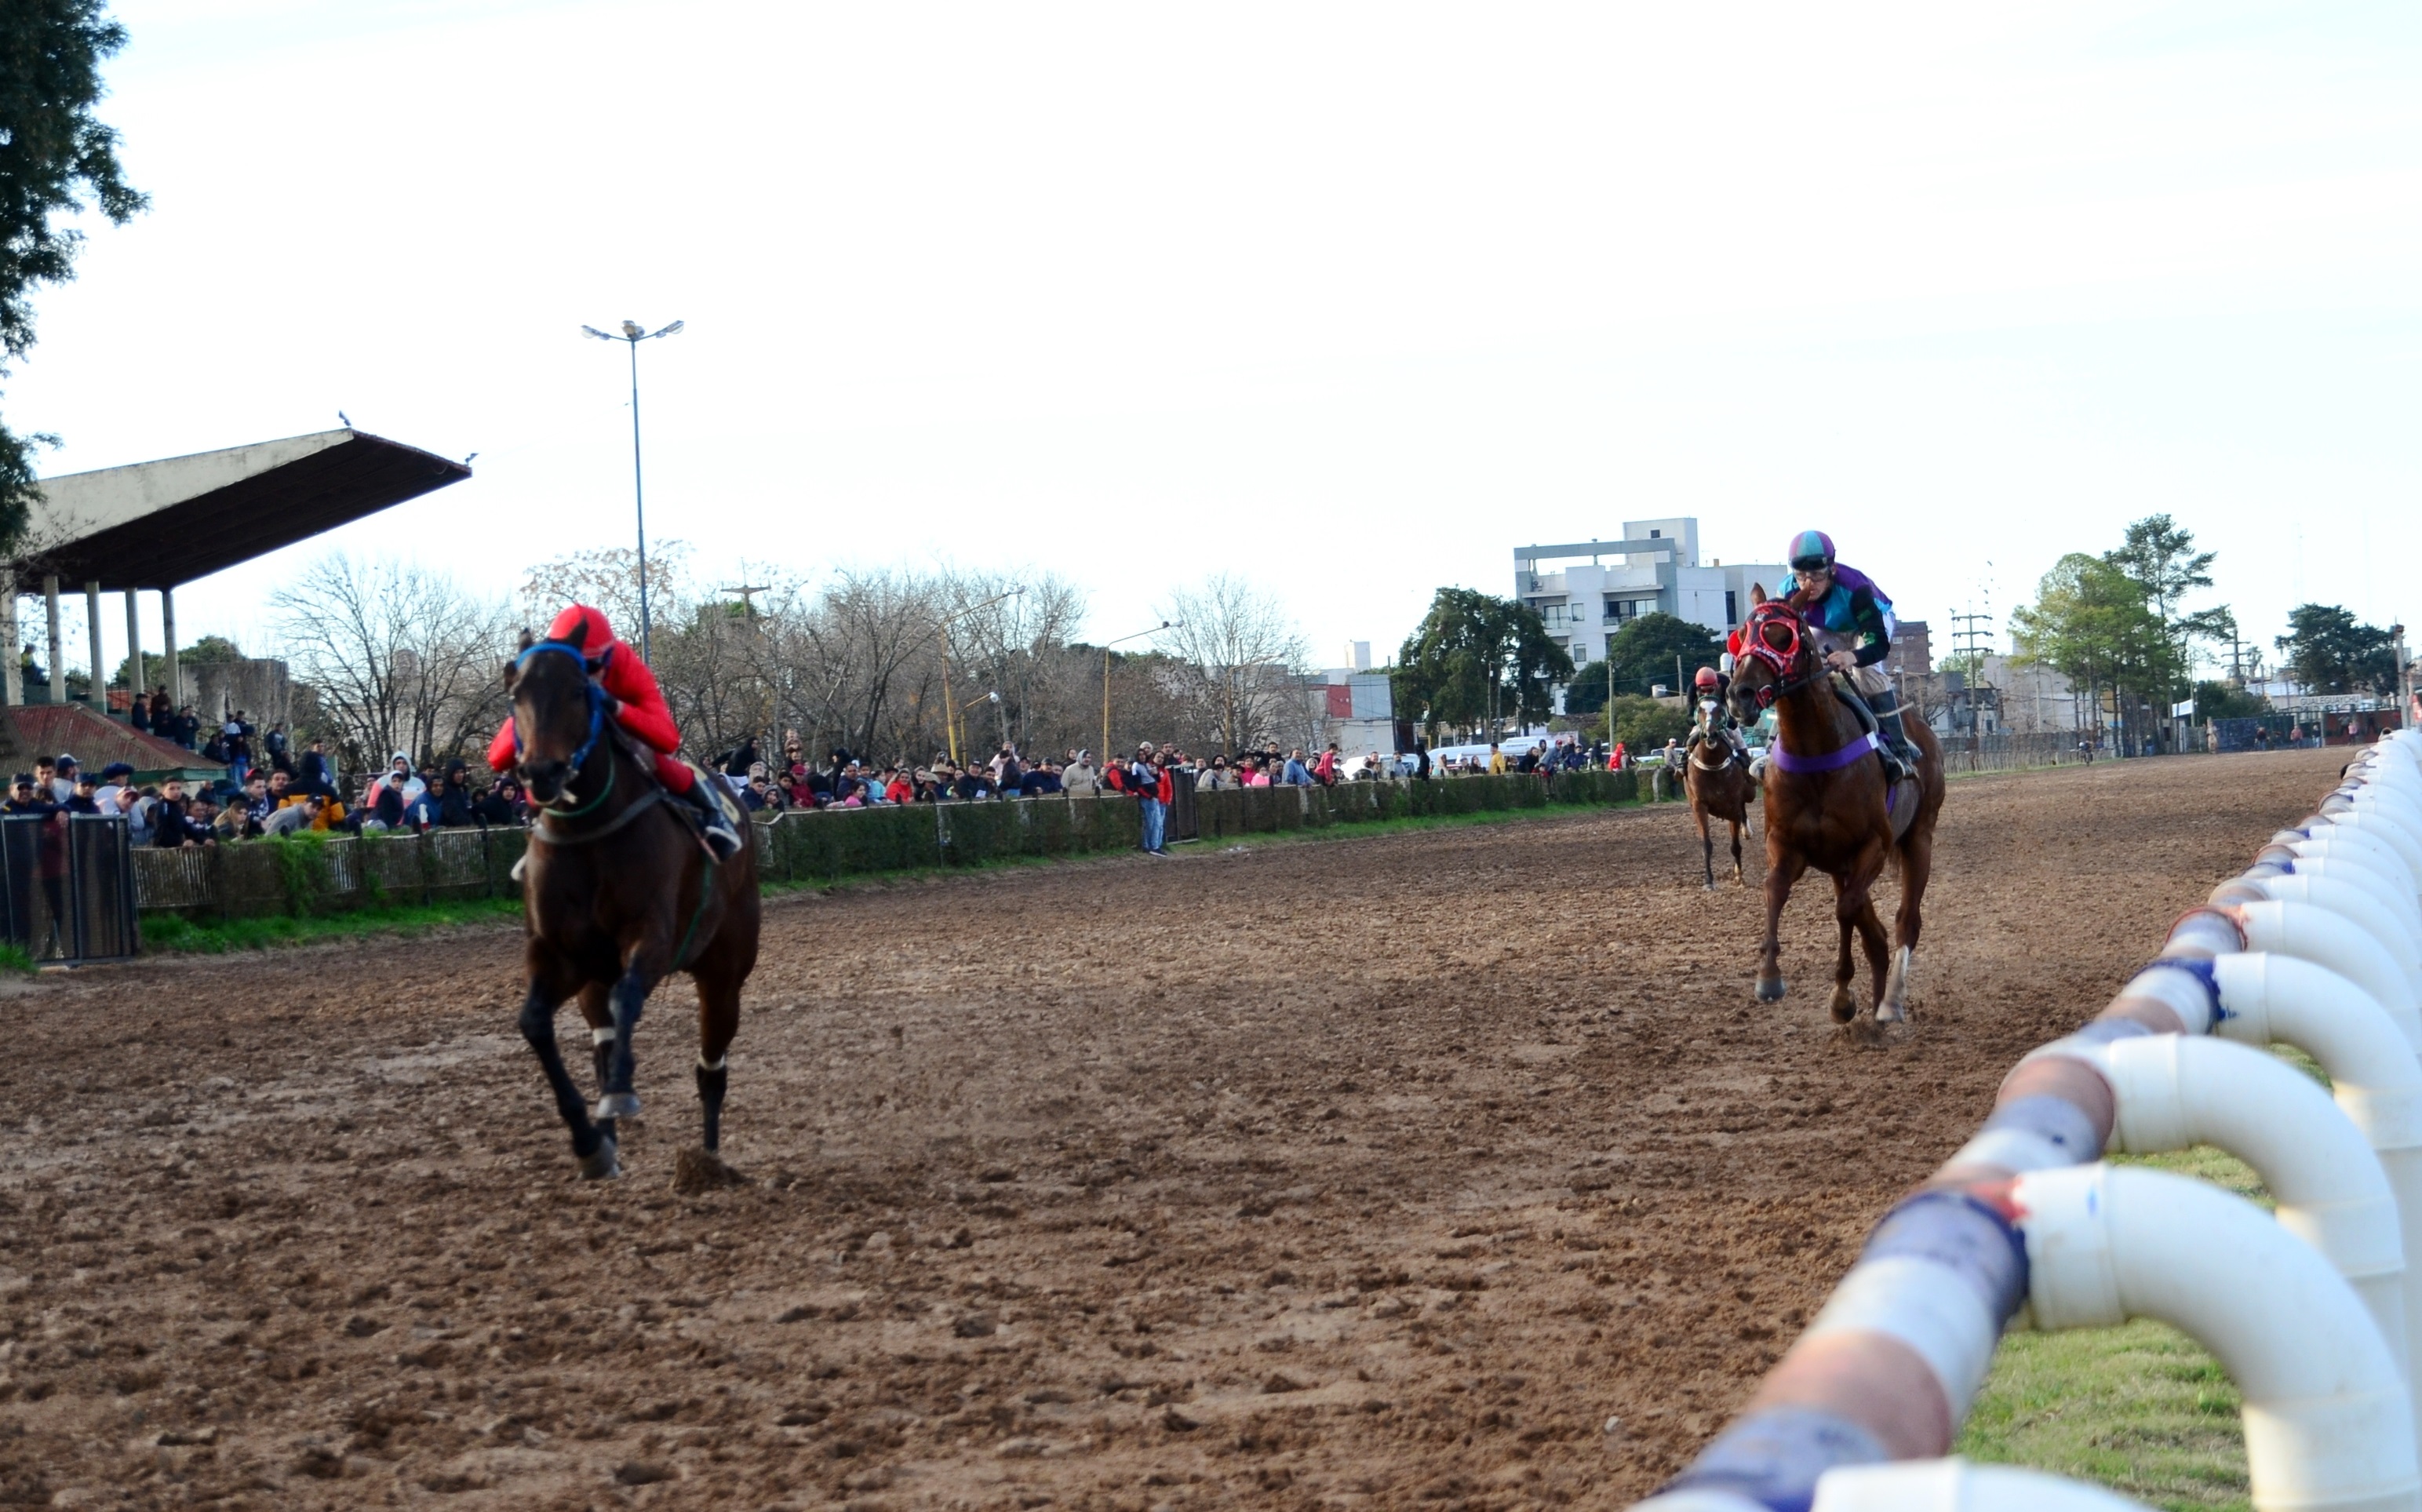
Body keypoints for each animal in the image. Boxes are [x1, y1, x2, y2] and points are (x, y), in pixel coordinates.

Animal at [511, 629, 765, 1177]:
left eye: (578, 692)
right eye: (516, 692)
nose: (542, 772)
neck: (587, 832)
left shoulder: (652, 937)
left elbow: (629, 997)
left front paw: (621, 1097)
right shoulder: (559, 954)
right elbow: (535, 1022)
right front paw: (590, 1142)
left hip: (725, 973)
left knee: (711, 1067)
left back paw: (708, 1162)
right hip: (593, 982)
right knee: (604, 1045)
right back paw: (609, 1140)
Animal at [1685, 702, 1763, 891]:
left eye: (1720, 710)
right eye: (1700, 710)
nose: (1710, 735)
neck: (1712, 766)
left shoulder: (1733, 806)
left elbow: (1735, 846)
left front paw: (1739, 876)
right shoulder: (1699, 805)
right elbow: (1706, 845)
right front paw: (1709, 881)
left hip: (1747, 794)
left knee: (1744, 808)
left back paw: (1747, 830)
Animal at [1724, 584, 1947, 1022]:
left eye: (1781, 635)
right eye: (1741, 634)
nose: (1740, 695)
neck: (1816, 753)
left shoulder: (1873, 845)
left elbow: (1846, 911)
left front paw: (1843, 996)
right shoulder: (1786, 843)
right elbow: (1775, 889)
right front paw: (1769, 977)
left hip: (1919, 837)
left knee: (1905, 923)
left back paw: (1891, 1001)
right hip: (1841, 862)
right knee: (1874, 930)